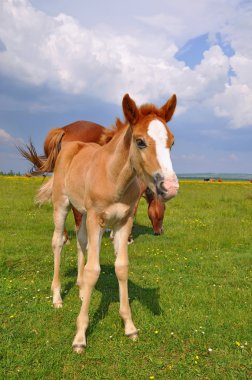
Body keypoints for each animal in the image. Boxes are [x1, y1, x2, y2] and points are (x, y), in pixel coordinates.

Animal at [36, 93, 178, 352]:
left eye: (171, 142)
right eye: (140, 142)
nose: (170, 187)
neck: (114, 177)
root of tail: (70, 142)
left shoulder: (123, 222)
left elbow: (121, 267)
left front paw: (130, 326)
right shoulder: (97, 220)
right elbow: (94, 269)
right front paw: (80, 336)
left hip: (81, 211)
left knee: (80, 241)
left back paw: (81, 290)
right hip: (62, 204)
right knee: (58, 241)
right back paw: (57, 296)